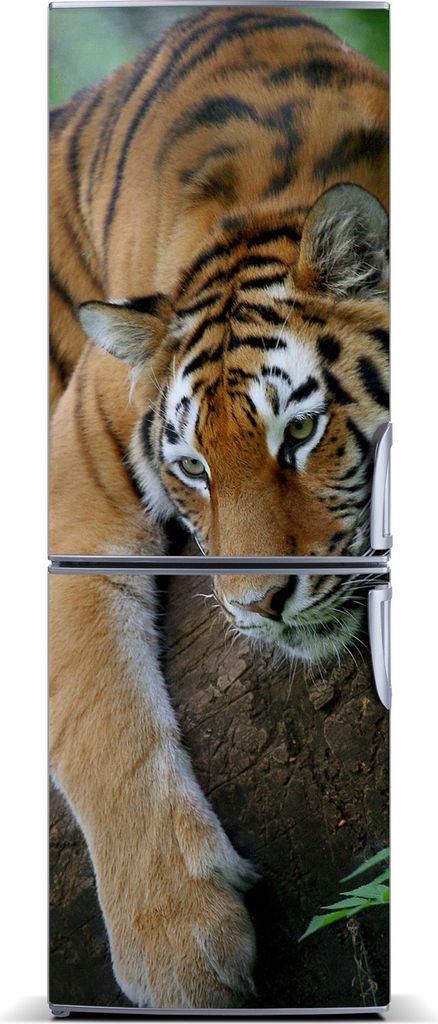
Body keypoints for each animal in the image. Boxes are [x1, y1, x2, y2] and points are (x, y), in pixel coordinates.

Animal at [49, 5, 389, 1009]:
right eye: (194, 467)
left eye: (301, 432)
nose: (256, 606)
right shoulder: (72, 478)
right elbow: (98, 712)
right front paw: (180, 950)